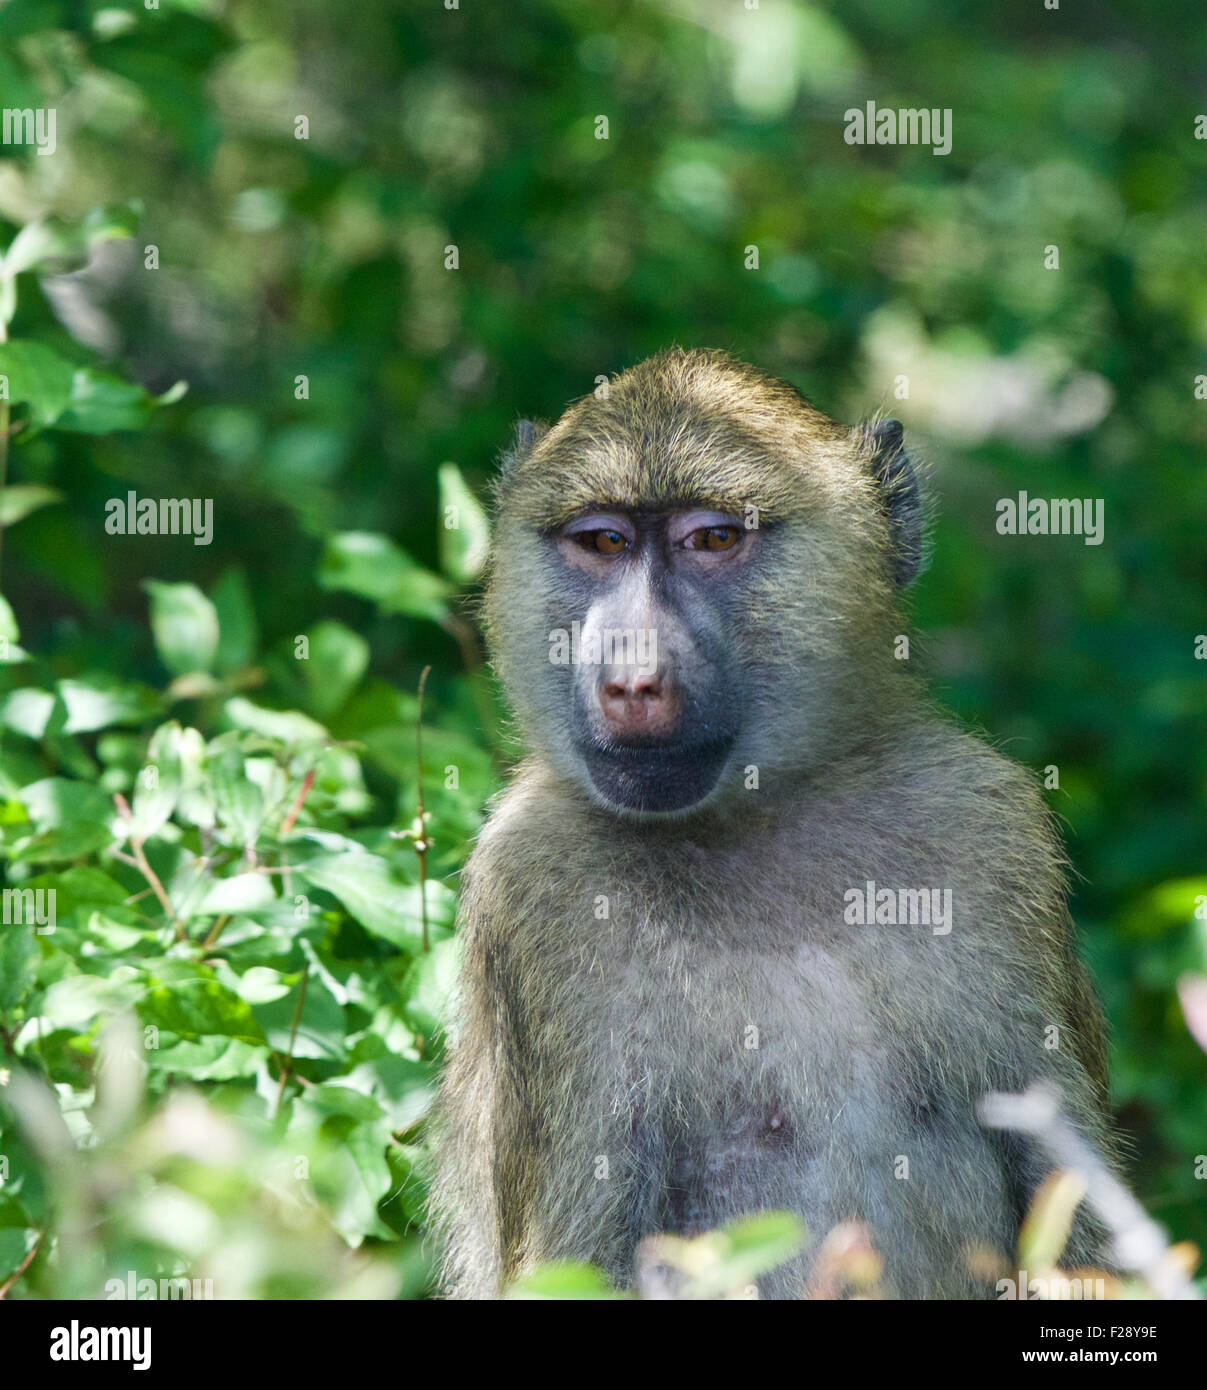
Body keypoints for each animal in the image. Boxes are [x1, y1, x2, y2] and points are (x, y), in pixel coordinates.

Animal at [430, 347, 1118, 1299]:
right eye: (602, 543)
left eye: (714, 540)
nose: (632, 682)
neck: (754, 816)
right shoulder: (527, 886)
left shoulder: (986, 825)